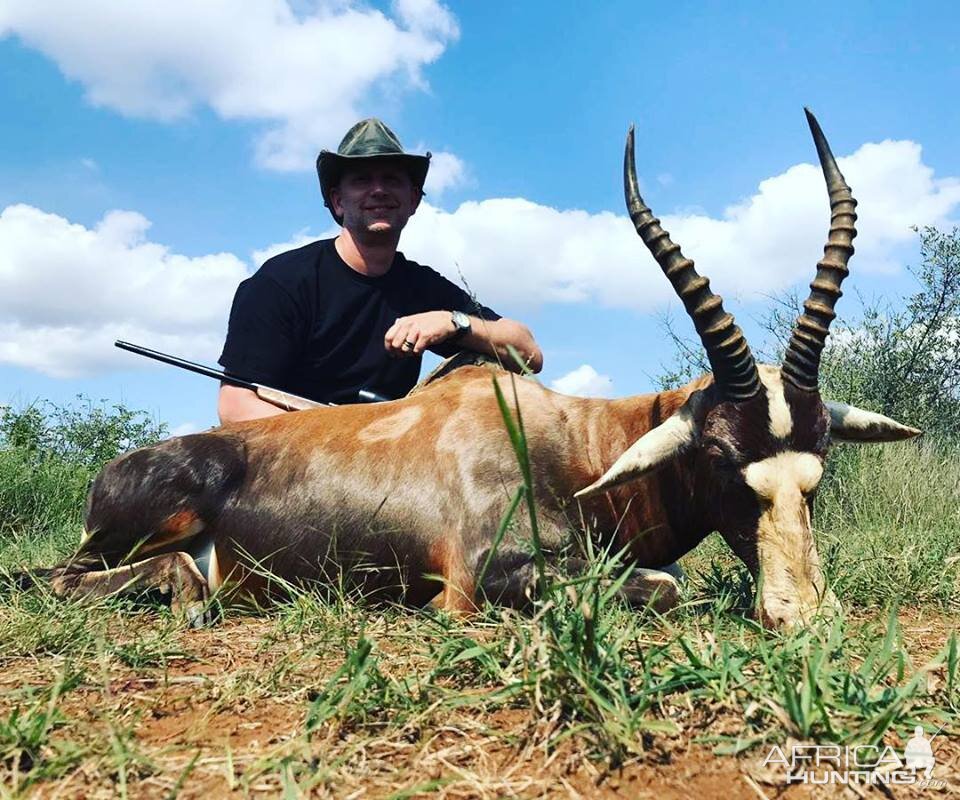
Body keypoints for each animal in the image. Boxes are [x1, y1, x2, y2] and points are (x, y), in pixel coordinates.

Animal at [28, 109, 916, 628]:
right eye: (722, 456)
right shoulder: (486, 576)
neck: (565, 438)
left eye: (820, 463)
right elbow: (667, 585)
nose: (801, 615)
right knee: (59, 576)